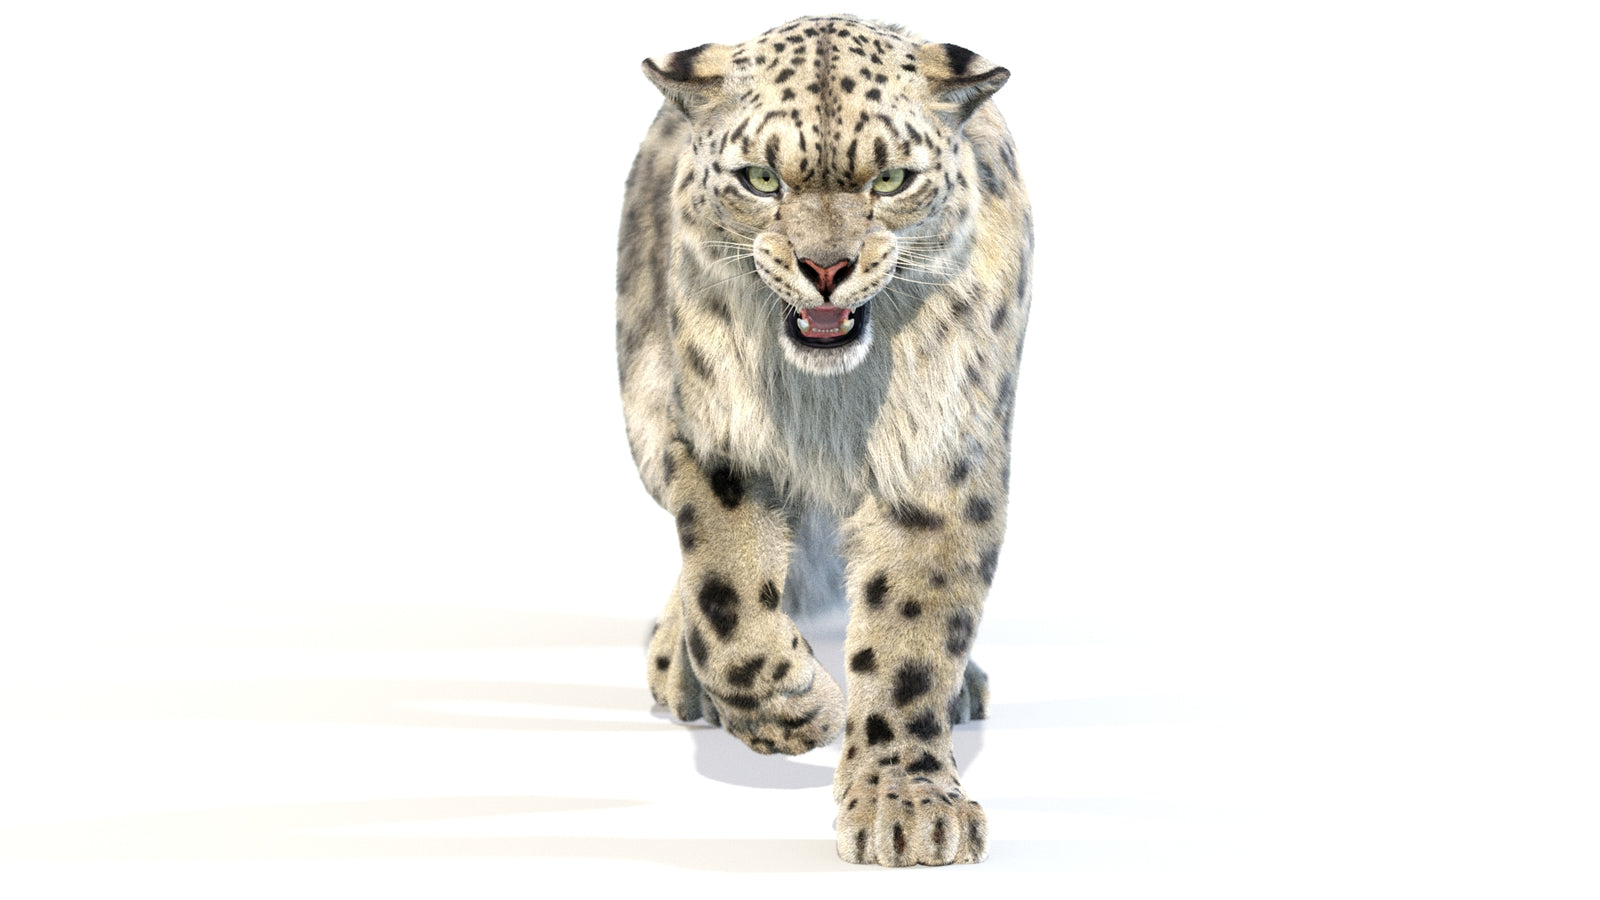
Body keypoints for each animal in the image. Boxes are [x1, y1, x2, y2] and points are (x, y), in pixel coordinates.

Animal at [615, 14, 1032, 867]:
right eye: (761, 179)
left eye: (891, 180)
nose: (827, 268)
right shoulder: (717, 438)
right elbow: (727, 595)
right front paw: (798, 709)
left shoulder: (937, 455)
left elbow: (911, 628)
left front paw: (907, 807)